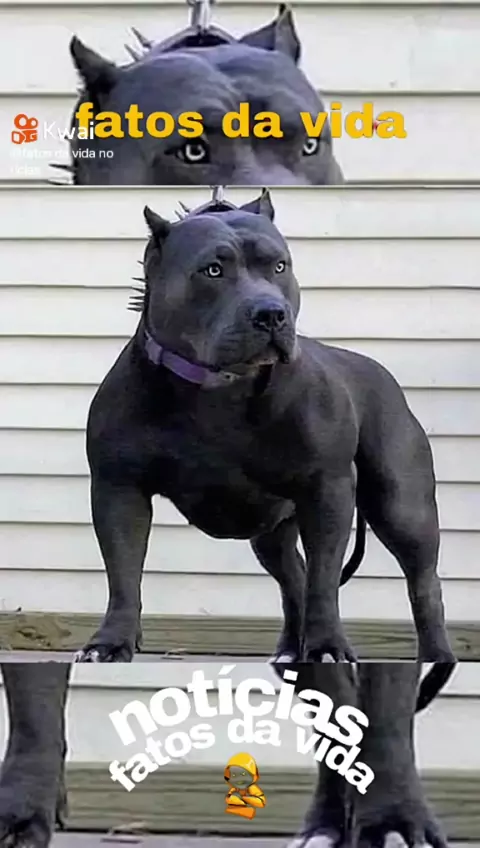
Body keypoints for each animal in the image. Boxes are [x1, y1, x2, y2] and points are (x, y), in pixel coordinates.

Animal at [73, 190, 455, 665]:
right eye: (213, 270)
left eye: (279, 267)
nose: (271, 313)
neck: (221, 387)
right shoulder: (120, 490)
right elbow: (123, 574)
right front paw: (111, 643)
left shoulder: (326, 490)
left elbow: (325, 580)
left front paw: (328, 646)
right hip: (272, 531)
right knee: (294, 576)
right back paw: (291, 650)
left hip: (402, 505)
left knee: (422, 583)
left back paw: (436, 656)